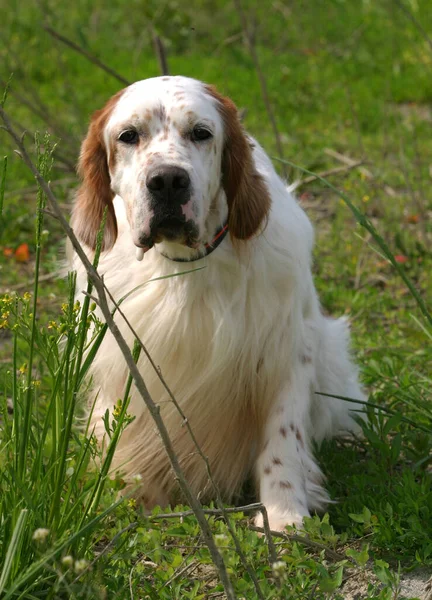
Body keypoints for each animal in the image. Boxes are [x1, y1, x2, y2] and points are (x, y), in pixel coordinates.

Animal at [71, 75, 364, 528]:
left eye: (201, 133)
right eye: (129, 136)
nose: (167, 181)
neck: (183, 265)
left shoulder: (286, 349)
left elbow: (283, 438)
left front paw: (285, 514)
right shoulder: (124, 356)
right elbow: (125, 429)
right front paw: (132, 498)